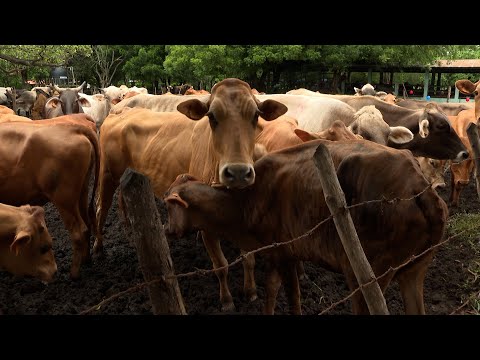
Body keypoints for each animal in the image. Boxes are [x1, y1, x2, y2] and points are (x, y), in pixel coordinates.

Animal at [95, 79, 286, 310]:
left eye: (256, 115)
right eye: (211, 116)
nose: (238, 172)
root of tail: (120, 111)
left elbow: (248, 258)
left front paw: (250, 291)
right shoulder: (205, 226)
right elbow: (221, 265)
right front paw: (227, 300)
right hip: (107, 174)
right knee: (101, 209)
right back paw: (98, 249)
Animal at [163, 139, 448, 314]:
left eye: (168, 204)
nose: (166, 230)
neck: (247, 199)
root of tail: (420, 188)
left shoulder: (287, 254)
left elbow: (293, 299)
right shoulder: (274, 253)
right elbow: (271, 291)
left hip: (367, 275)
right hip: (414, 271)